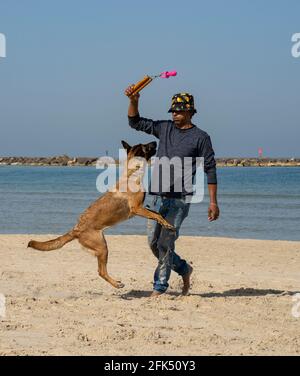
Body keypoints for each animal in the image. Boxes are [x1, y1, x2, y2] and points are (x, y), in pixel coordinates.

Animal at [28, 140, 175, 288]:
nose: (155, 141)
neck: (132, 173)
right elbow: (156, 215)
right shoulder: (137, 208)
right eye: (146, 146)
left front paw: (166, 222)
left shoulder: (142, 208)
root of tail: (76, 229)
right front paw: (168, 225)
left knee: (101, 271)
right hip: (103, 247)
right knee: (101, 271)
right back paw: (116, 284)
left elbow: (157, 214)